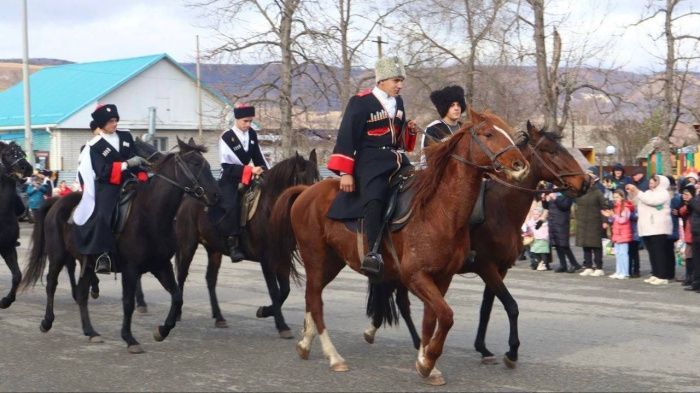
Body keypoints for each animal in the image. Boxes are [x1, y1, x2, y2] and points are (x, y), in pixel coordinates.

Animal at [20, 138, 219, 352]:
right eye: (196, 164)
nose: (216, 195)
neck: (150, 215)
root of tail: (57, 201)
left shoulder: (161, 266)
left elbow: (177, 297)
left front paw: (162, 331)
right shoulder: (130, 269)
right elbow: (128, 303)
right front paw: (129, 338)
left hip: (87, 263)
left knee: (81, 294)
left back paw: (91, 332)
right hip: (58, 255)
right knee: (51, 284)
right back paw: (47, 322)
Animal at [270, 108, 528, 384]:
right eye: (488, 134)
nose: (520, 166)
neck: (440, 211)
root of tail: (305, 192)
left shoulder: (442, 277)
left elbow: (431, 319)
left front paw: (427, 363)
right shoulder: (416, 276)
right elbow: (446, 317)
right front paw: (428, 360)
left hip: (331, 262)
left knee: (313, 296)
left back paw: (305, 344)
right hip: (316, 258)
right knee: (315, 302)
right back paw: (334, 356)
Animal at [360, 120, 592, 368]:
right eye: (551, 151)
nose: (585, 182)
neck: (500, 209)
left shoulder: (500, 269)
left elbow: (487, 308)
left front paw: (483, 348)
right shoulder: (486, 266)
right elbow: (511, 306)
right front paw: (512, 351)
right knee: (401, 301)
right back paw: (414, 343)